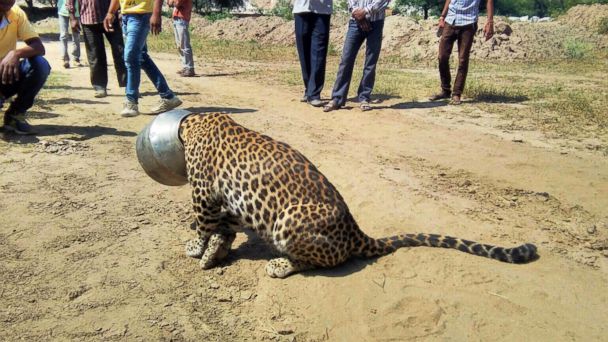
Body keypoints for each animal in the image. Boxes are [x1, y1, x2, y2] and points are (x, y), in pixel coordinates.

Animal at [177, 113, 536, 280]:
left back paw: (279, 264)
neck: (196, 121)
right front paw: (216, 249)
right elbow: (224, 225)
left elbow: (203, 224)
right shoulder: (230, 201)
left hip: (290, 219)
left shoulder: (202, 192)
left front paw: (197, 247)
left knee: (320, 261)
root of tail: (355, 231)